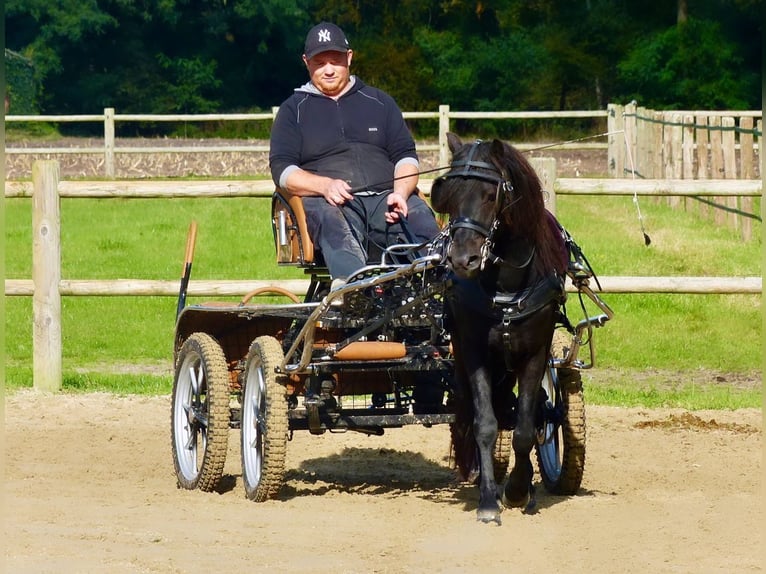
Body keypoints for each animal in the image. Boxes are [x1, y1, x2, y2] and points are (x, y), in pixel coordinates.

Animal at [432, 134, 568, 528]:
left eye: (490, 195)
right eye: (450, 193)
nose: (462, 259)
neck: (507, 286)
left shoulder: (535, 353)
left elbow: (525, 428)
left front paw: (519, 490)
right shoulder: (474, 351)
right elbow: (485, 424)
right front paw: (489, 500)